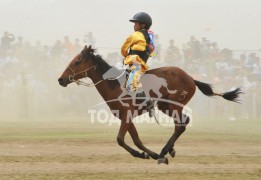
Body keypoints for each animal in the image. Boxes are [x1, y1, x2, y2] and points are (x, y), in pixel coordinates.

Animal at [58, 45, 241, 165]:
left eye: (77, 61)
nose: (61, 79)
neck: (114, 85)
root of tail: (190, 77)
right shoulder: (126, 118)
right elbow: (136, 140)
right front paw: (147, 154)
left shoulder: (127, 116)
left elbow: (120, 139)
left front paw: (148, 155)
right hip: (165, 106)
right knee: (184, 122)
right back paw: (169, 150)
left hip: (174, 106)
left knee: (180, 125)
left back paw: (164, 151)